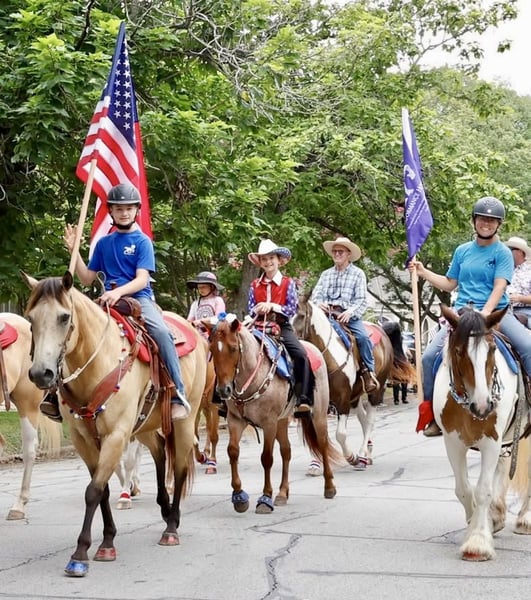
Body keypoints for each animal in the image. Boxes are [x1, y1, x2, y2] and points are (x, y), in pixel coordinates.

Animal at [23, 272, 207, 577]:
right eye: (30, 318)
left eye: (64, 317)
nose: (41, 373)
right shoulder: (84, 440)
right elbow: (102, 490)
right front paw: (107, 540)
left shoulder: (116, 435)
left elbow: (93, 491)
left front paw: (80, 554)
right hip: (144, 425)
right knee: (159, 451)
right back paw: (164, 509)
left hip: (184, 422)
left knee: (180, 467)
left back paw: (171, 527)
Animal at [202, 313, 339, 513]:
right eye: (212, 348)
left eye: (234, 348)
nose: (223, 390)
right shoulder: (235, 420)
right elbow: (233, 451)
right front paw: (239, 497)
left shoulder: (269, 423)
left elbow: (266, 458)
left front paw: (265, 498)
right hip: (282, 421)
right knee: (286, 451)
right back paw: (282, 493)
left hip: (318, 415)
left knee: (322, 444)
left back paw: (329, 487)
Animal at [293, 297, 415, 469]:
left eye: (301, 315)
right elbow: (315, 433)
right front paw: (315, 465)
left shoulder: (343, 399)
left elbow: (340, 434)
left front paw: (351, 457)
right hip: (355, 396)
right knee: (363, 419)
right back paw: (368, 451)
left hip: (375, 391)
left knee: (369, 421)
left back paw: (362, 455)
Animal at [433, 303, 531, 560]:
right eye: (458, 351)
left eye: (493, 349)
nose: (483, 406)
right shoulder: (452, 443)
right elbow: (463, 489)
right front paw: (476, 522)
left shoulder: (491, 441)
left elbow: (483, 490)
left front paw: (477, 541)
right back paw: (496, 516)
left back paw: (525, 518)